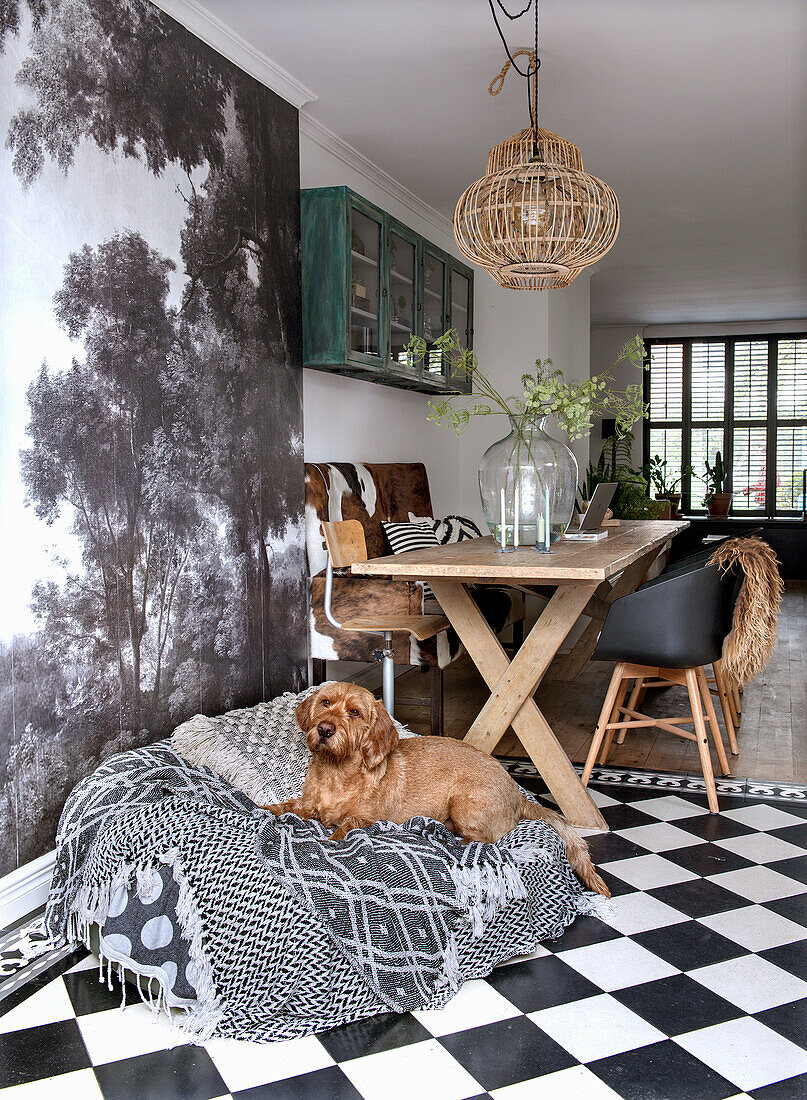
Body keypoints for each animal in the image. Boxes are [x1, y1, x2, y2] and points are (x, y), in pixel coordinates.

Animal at [262, 682, 611, 897]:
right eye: (326, 702)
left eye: (355, 713)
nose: (325, 729)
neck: (337, 773)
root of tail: (516, 793)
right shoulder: (307, 804)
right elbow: (284, 807)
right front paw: (264, 810)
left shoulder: (362, 820)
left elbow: (339, 832)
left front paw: (327, 843)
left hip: (464, 801)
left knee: (483, 841)